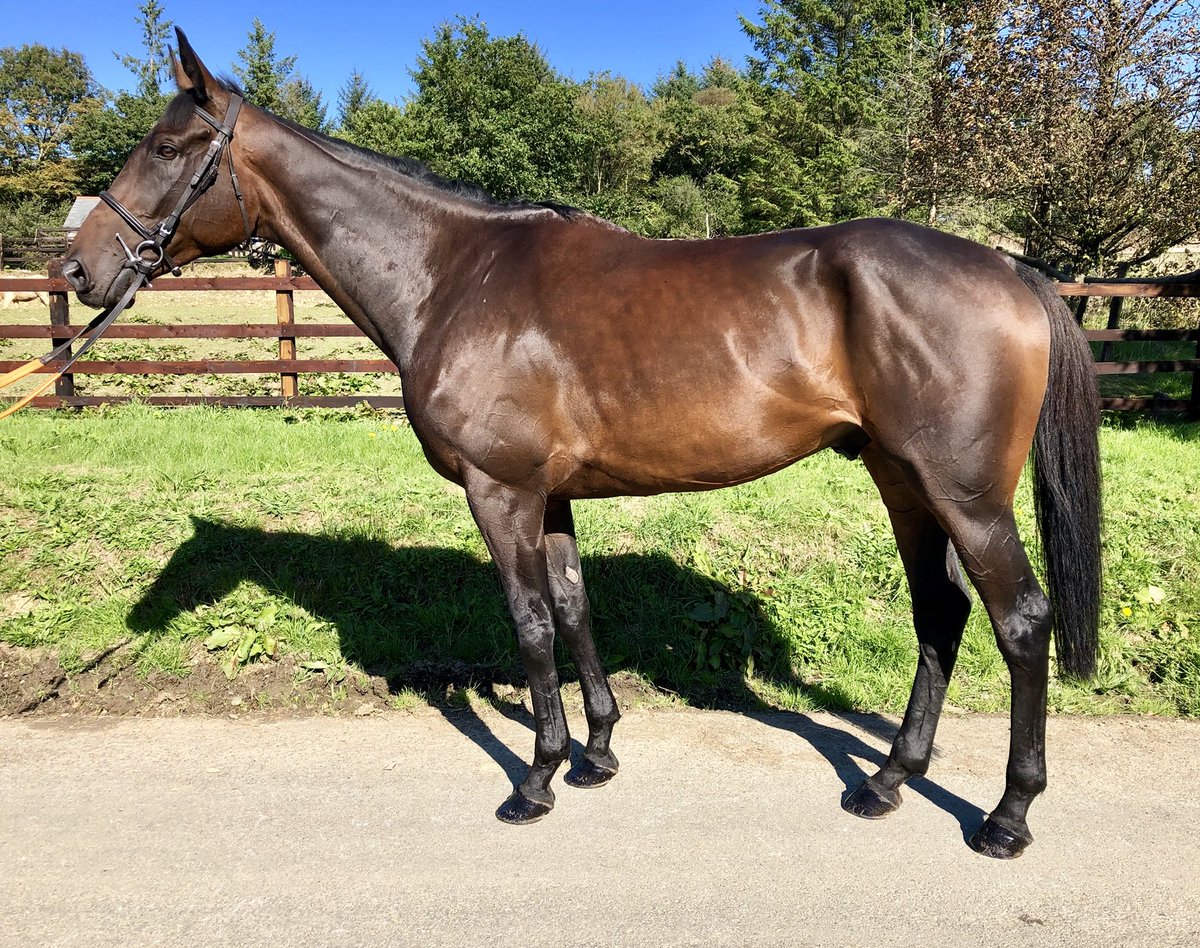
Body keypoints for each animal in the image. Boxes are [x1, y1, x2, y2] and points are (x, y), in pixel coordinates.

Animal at [58, 29, 1101, 859]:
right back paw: (887, 781)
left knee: (1019, 621)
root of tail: (1011, 270)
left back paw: (1007, 816)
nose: (78, 268)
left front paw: (536, 779)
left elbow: (527, 624)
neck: (455, 275)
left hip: (964, 495)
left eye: (168, 147)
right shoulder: (550, 495)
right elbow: (572, 608)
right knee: (940, 613)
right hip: (902, 481)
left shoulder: (499, 491)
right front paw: (597, 753)